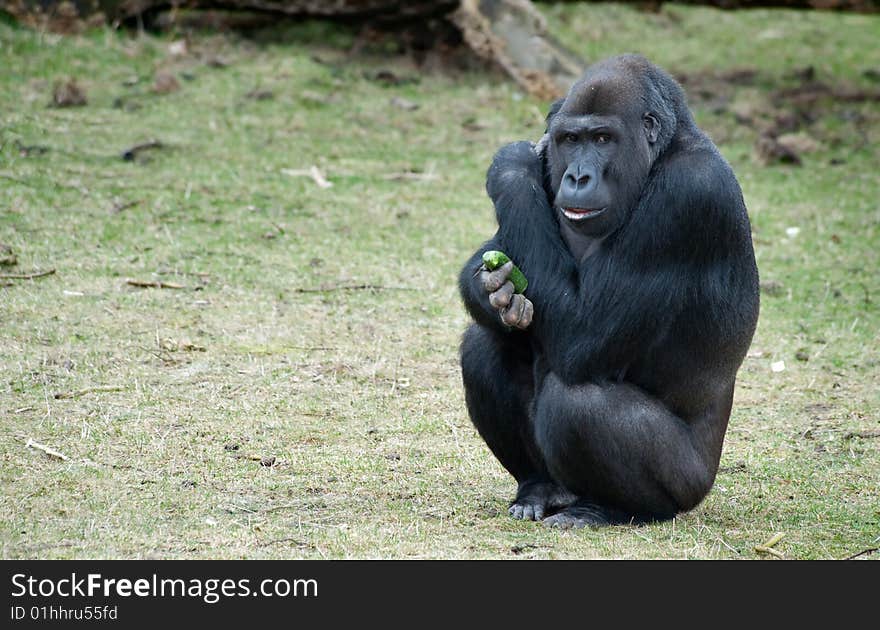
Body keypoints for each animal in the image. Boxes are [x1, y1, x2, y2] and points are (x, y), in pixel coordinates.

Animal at [458, 54, 760, 528]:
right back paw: (539, 488)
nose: (578, 176)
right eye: (570, 139)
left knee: (578, 401)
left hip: (689, 484)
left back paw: (609, 507)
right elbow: (499, 249)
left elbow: (584, 337)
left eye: (603, 139)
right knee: (484, 346)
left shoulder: (688, 195)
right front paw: (493, 289)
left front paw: (512, 167)